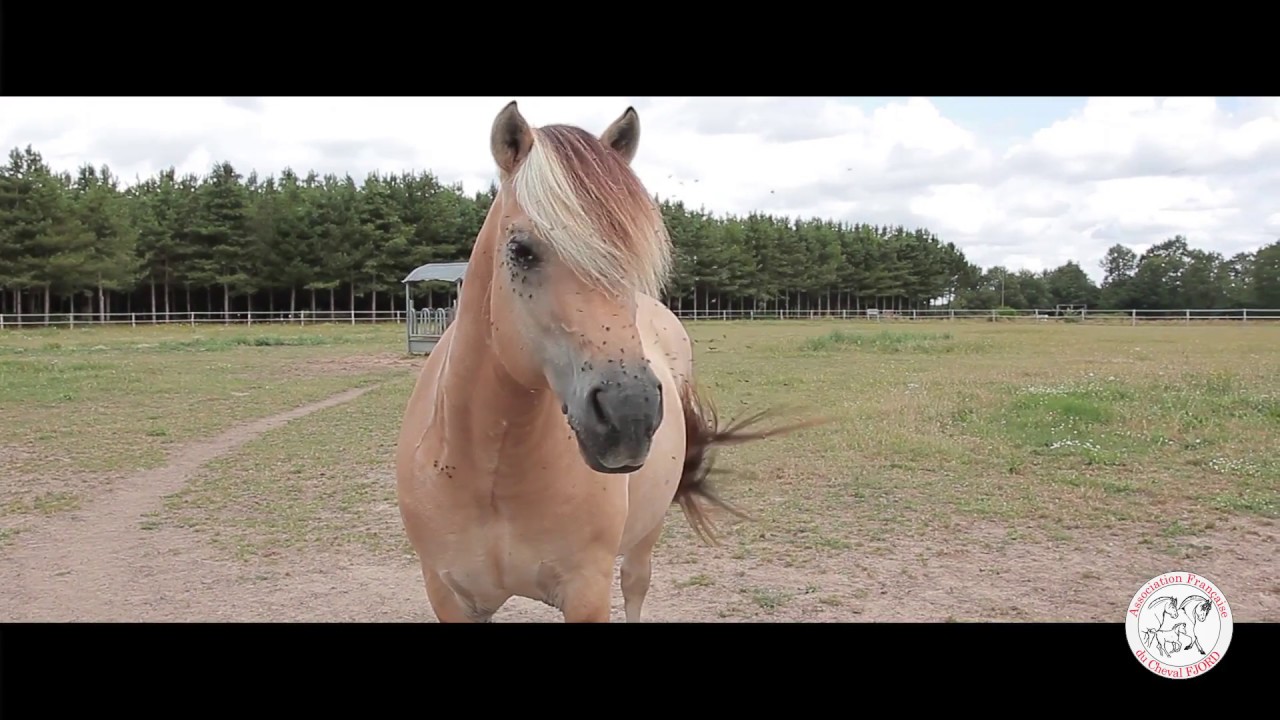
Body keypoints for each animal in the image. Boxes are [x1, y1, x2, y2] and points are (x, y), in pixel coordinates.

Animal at [394, 101, 820, 623]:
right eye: (520, 250)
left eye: (634, 256)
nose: (628, 414)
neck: (489, 474)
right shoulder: (450, 596)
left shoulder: (587, 593)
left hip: (645, 535)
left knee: (636, 582)